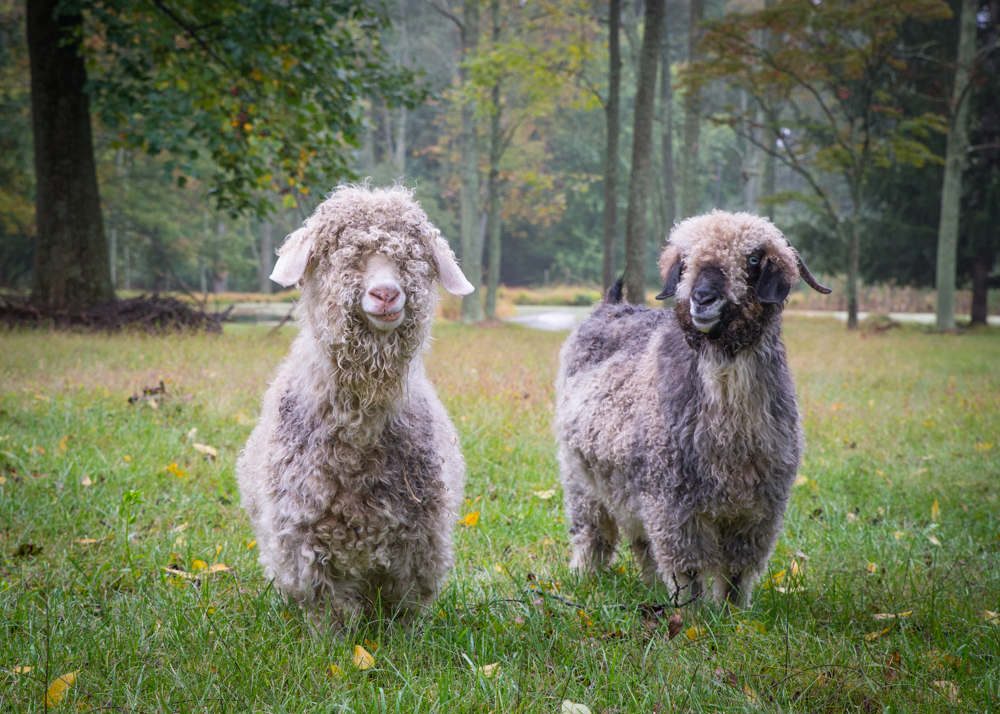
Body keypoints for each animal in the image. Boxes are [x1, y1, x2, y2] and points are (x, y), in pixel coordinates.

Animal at [239, 185, 476, 628]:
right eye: (337, 251)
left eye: (415, 255)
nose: (386, 293)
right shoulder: (305, 542)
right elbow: (329, 613)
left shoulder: (418, 542)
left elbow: (402, 611)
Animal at [556, 209, 828, 604]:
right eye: (685, 261)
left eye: (752, 259)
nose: (702, 297)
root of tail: (611, 305)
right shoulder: (672, 503)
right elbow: (687, 569)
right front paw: (691, 613)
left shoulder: (758, 511)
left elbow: (736, 571)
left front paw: (732, 612)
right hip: (582, 477)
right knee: (594, 534)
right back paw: (583, 578)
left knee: (640, 543)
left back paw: (650, 586)